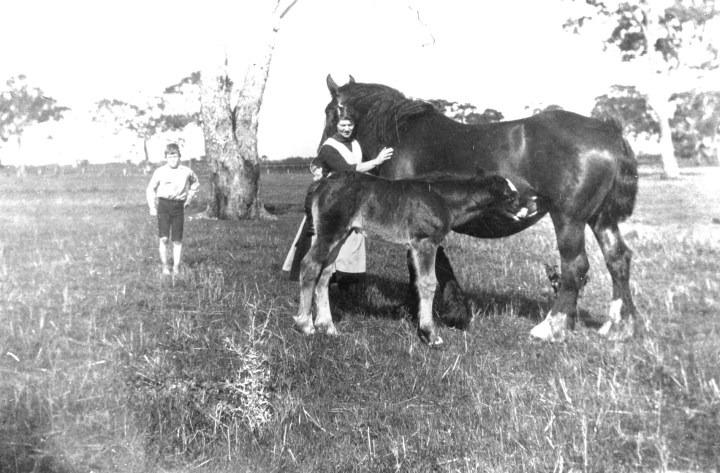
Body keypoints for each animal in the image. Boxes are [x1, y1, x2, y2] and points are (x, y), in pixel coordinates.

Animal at [295, 170, 534, 347]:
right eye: (510, 196)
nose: (528, 210)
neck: (443, 200)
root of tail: (321, 183)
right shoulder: (425, 242)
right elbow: (428, 283)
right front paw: (430, 335)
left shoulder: (419, 246)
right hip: (330, 231)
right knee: (310, 265)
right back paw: (305, 325)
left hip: (341, 234)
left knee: (325, 272)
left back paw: (327, 326)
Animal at [319, 75, 640, 342]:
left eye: (329, 111)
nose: (321, 161)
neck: (402, 137)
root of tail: (610, 133)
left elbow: (424, 268)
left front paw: (429, 314)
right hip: (600, 219)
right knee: (618, 259)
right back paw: (619, 327)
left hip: (569, 218)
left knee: (575, 266)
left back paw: (550, 327)